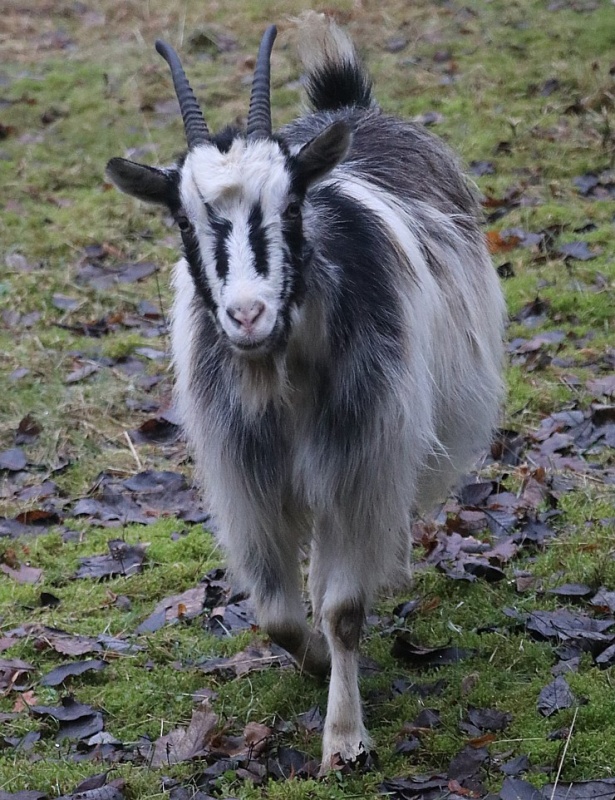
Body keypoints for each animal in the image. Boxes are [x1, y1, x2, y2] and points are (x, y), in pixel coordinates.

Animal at [107, 12, 506, 772]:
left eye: (291, 207)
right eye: (183, 221)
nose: (247, 315)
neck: (281, 378)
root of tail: (348, 107)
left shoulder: (358, 456)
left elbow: (343, 610)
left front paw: (344, 739)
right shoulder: (250, 478)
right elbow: (278, 616)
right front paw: (315, 661)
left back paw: (390, 568)